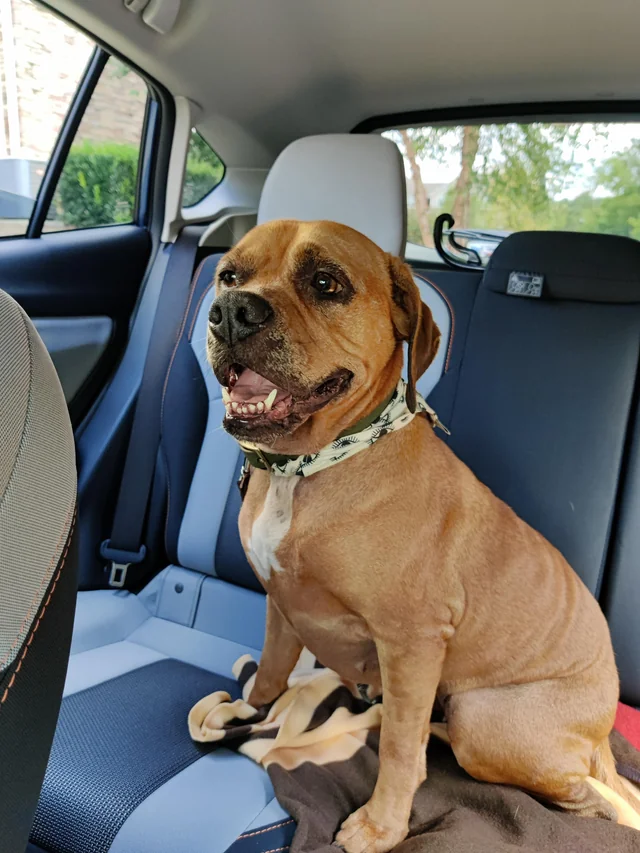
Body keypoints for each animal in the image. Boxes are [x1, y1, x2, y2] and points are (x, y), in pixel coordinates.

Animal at [208, 218, 636, 852]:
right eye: (230, 275)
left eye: (326, 282)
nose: (232, 312)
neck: (308, 467)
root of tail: (602, 732)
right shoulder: (281, 604)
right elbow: (270, 673)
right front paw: (246, 715)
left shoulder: (410, 644)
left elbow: (397, 749)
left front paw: (381, 826)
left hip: (487, 722)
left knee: (588, 795)